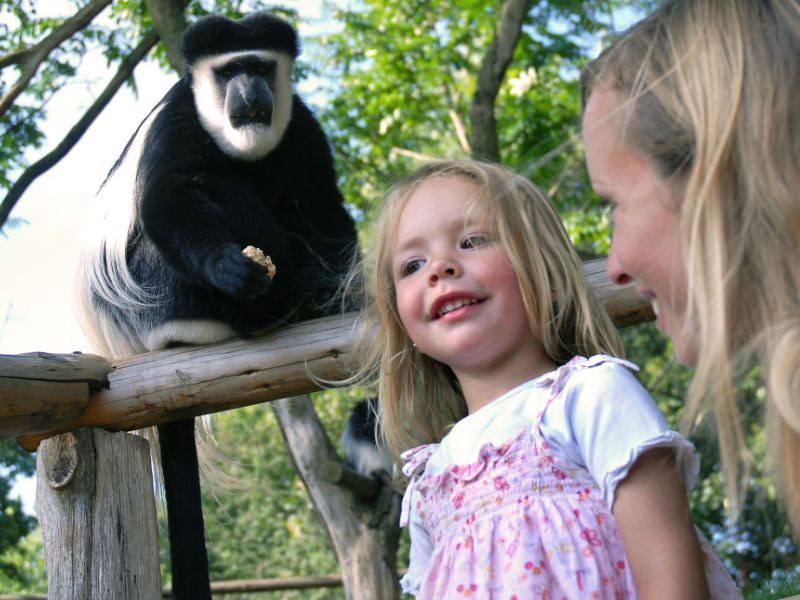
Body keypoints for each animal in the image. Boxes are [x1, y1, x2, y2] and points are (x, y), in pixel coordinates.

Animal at [76, 10, 358, 600]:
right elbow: (171, 195)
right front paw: (231, 266)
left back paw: (313, 294)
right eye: (229, 71)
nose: (248, 91)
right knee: (214, 192)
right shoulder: (180, 121)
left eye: (260, 67)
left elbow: (322, 204)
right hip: (156, 294)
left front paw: (348, 287)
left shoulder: (302, 128)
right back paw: (280, 301)